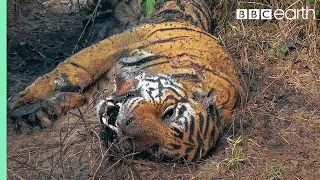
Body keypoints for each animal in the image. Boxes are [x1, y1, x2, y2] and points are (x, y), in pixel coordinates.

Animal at [8, 0, 248, 162]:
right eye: (169, 113)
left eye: (155, 150)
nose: (123, 129)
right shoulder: (119, 43)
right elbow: (72, 71)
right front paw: (19, 100)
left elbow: (75, 95)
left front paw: (36, 116)